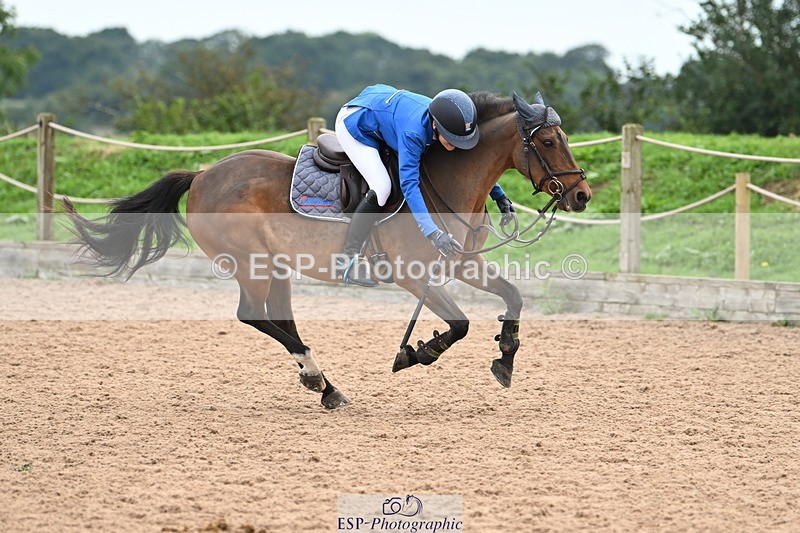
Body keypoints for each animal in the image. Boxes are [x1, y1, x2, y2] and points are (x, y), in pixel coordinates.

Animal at [65, 91, 592, 409]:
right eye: (548, 141)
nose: (582, 195)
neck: (443, 178)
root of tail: (201, 174)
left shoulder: (464, 263)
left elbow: (513, 297)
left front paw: (505, 357)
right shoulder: (413, 275)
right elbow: (459, 325)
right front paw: (415, 353)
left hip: (276, 266)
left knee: (281, 318)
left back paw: (323, 384)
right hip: (250, 264)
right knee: (253, 315)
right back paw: (320, 378)